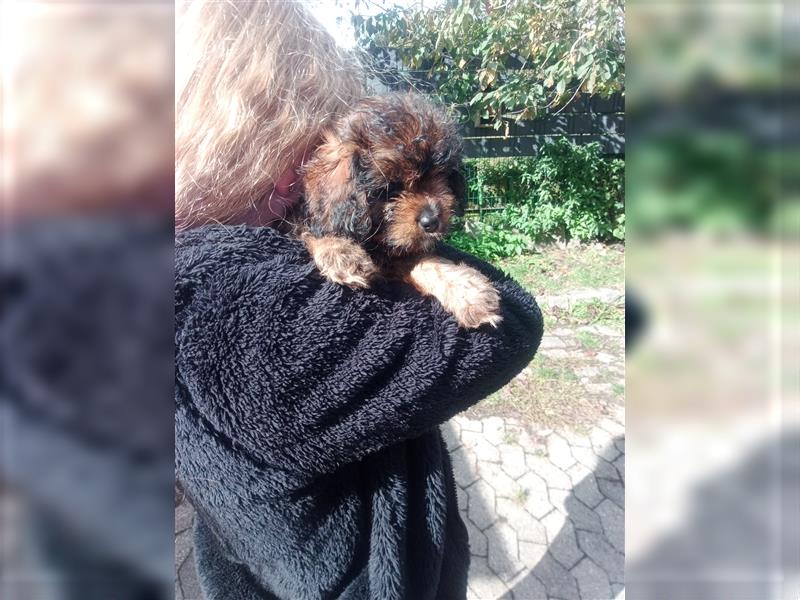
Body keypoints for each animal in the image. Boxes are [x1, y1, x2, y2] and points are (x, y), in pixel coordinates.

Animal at [296, 93, 504, 328]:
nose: (432, 221)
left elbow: (427, 262)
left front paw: (467, 291)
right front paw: (341, 253)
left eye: (441, 177)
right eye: (390, 188)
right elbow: (315, 232)